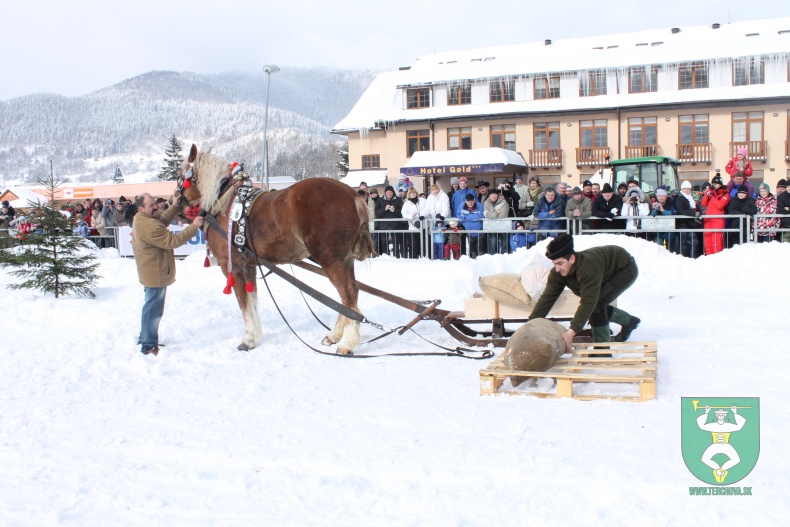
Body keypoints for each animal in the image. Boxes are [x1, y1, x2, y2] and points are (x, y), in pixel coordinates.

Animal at [180, 144, 378, 354]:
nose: (173, 203)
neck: (224, 203)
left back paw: (346, 342)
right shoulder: (249, 264)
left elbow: (243, 302)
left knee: (348, 293)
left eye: (181, 176)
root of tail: (352, 195)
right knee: (347, 296)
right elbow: (251, 299)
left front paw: (248, 339)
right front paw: (254, 336)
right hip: (344, 259)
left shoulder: (232, 266)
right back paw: (334, 335)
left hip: (331, 258)